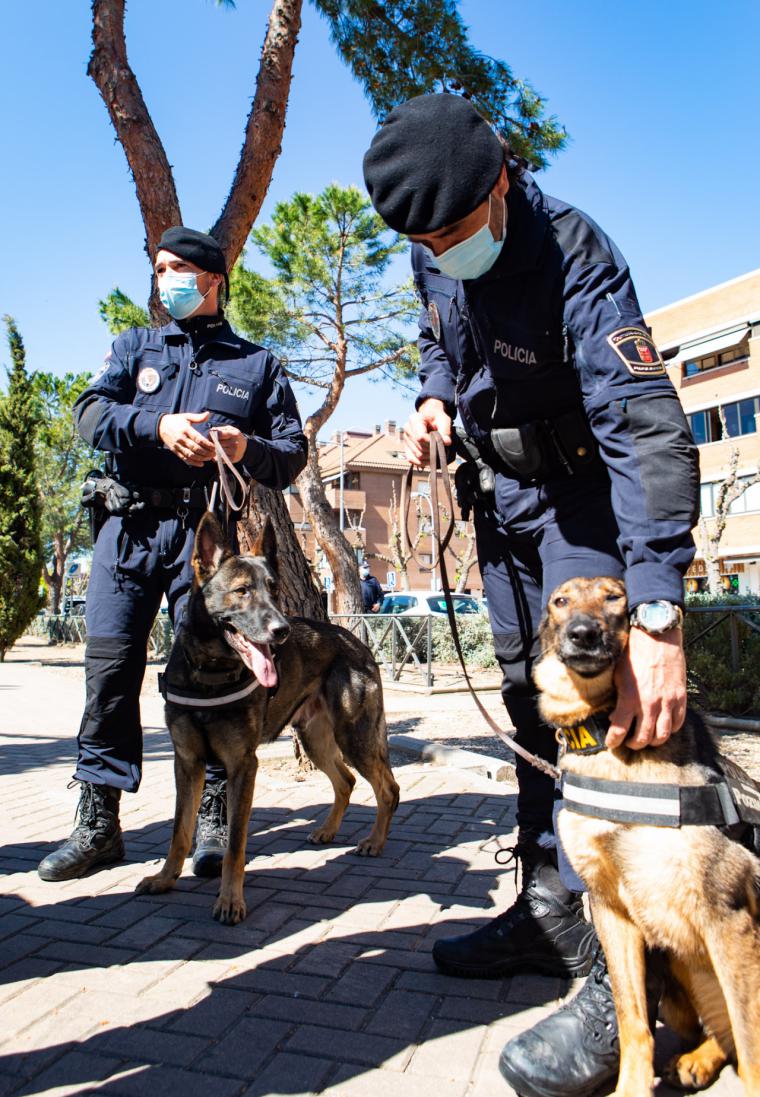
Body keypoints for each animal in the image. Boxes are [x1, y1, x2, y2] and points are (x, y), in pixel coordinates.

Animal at [135, 513, 399, 925]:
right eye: (242, 591)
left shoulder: (243, 765)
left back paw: (374, 841)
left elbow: (235, 845)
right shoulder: (187, 763)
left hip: (353, 737)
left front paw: (230, 900)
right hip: (315, 740)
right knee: (346, 781)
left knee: (387, 789)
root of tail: (357, 643)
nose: (282, 631)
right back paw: (327, 831)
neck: (209, 673)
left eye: (273, 591)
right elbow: (179, 830)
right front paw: (165, 878)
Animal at [532, 579, 758, 1092]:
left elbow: (754, 1047)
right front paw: (630, 1088)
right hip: (677, 971)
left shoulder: (727, 917)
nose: (582, 634)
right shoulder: (611, 908)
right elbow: (632, 1018)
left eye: (615, 597)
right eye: (561, 601)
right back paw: (696, 1061)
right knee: (717, 1033)